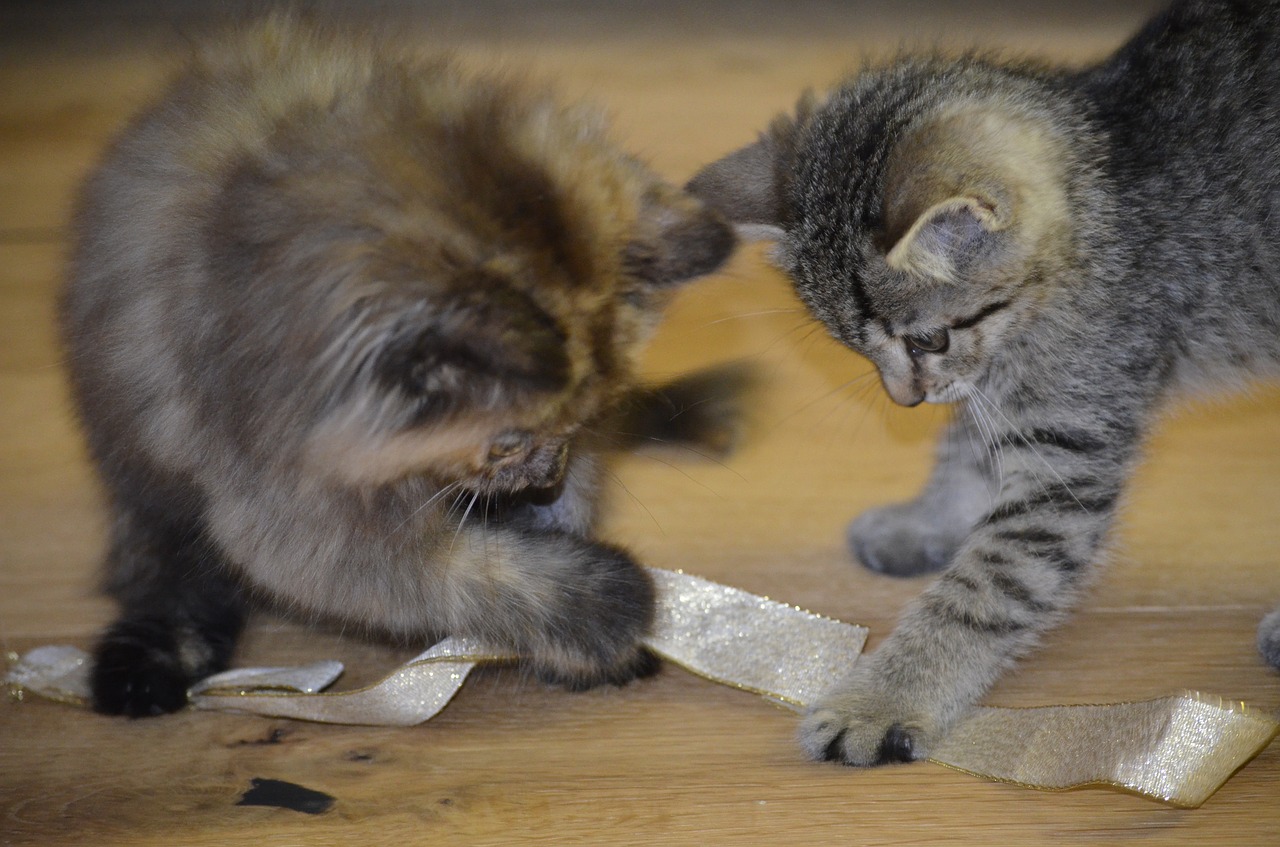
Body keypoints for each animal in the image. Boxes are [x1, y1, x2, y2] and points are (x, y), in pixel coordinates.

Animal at [62, 19, 742, 721]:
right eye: (507, 443)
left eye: (579, 423)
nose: (545, 478)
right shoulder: (283, 506)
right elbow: (448, 573)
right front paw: (604, 603)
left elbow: (571, 498)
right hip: (138, 461)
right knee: (159, 566)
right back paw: (153, 660)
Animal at [691, 0, 1280, 767]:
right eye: (855, 349)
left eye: (927, 339)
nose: (904, 400)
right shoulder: (996, 390)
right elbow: (966, 450)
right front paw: (927, 519)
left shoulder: (1068, 445)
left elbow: (985, 586)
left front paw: (879, 700)